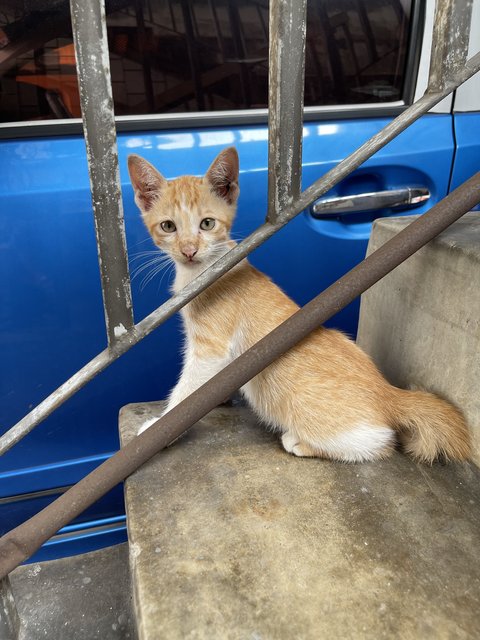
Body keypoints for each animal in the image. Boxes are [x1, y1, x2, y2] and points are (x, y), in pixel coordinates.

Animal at [126, 148, 468, 462]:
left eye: (207, 224)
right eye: (168, 227)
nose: (189, 250)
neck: (205, 271)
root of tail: (389, 393)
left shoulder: (211, 347)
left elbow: (187, 390)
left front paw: (161, 429)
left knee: (379, 444)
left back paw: (302, 441)